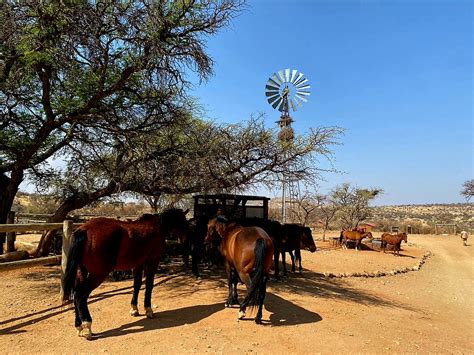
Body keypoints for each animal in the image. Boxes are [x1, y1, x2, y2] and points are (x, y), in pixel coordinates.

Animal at [61, 210, 189, 340]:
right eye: (183, 222)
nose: (185, 240)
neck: (158, 226)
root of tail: (84, 230)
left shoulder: (138, 264)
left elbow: (137, 285)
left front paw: (134, 309)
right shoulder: (152, 261)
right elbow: (149, 285)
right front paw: (148, 309)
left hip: (82, 271)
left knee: (76, 293)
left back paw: (79, 325)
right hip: (98, 274)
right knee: (80, 295)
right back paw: (87, 326)